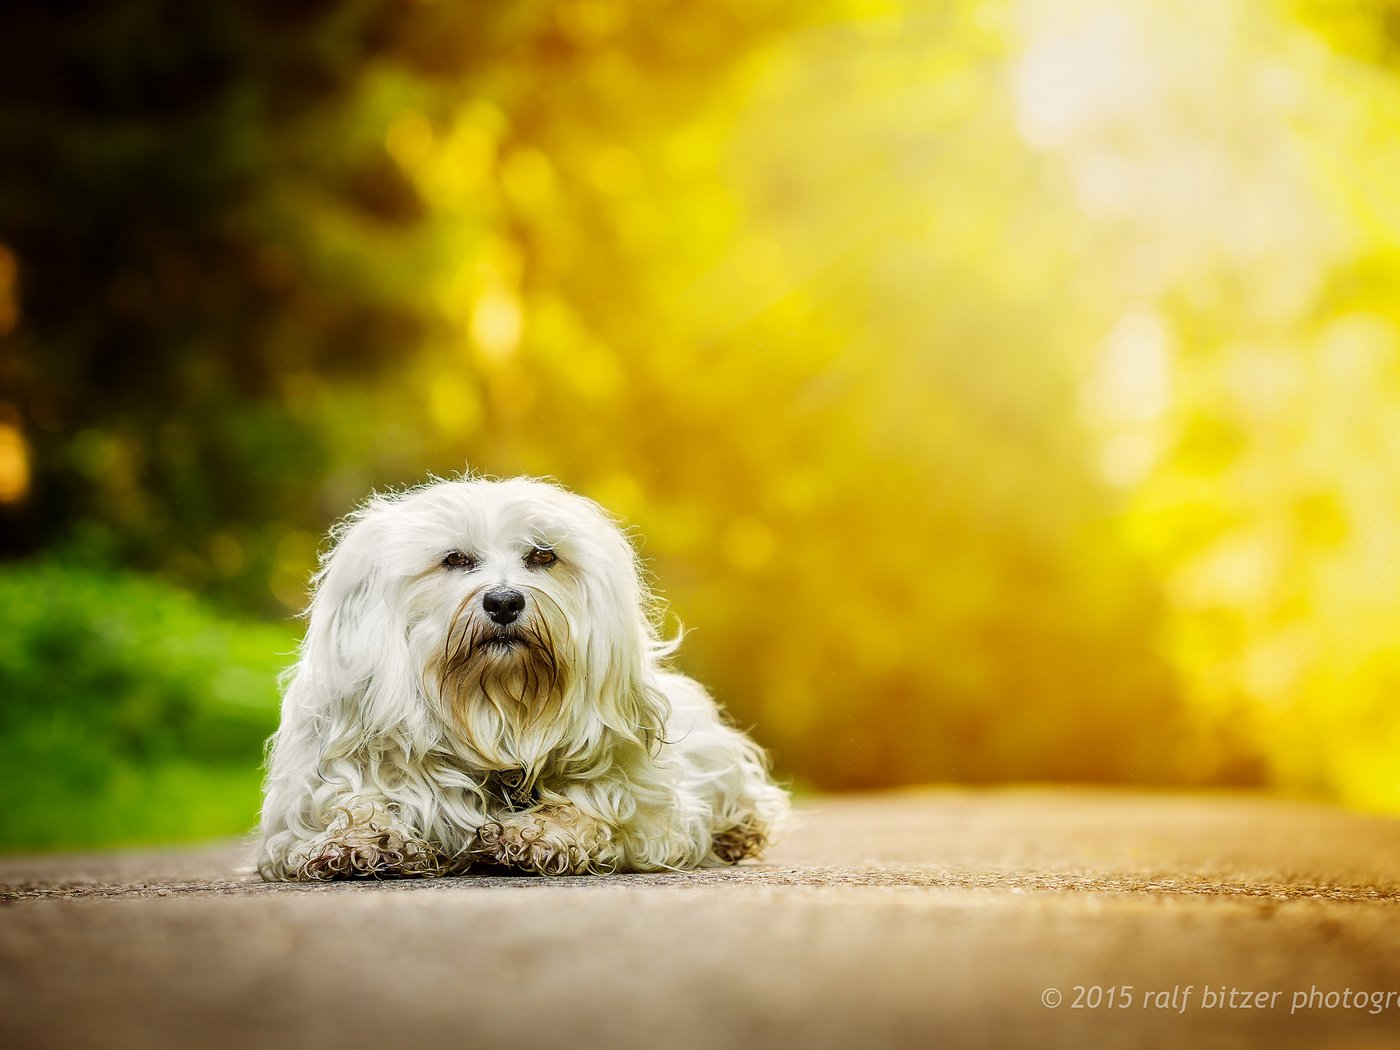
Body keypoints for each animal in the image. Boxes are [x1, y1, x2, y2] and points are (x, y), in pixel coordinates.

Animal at [260, 476, 789, 879]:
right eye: (454, 559)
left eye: (542, 556)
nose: (504, 601)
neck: (494, 710)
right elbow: (358, 804)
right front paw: (356, 840)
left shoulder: (646, 812)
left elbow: (593, 809)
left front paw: (541, 834)